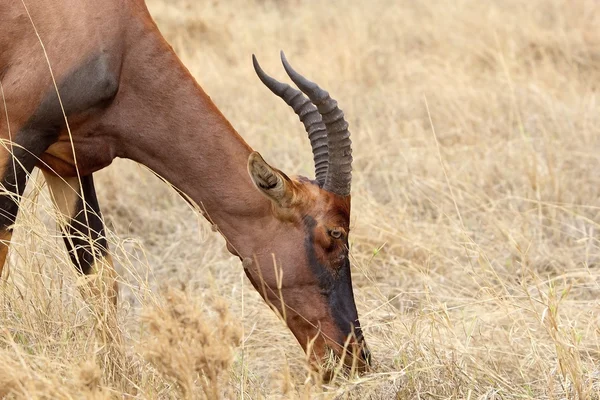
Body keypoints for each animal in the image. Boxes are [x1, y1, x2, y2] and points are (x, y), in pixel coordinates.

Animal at [0, 0, 370, 372]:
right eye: (334, 234)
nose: (356, 358)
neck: (117, 39)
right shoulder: (15, 138)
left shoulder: (69, 164)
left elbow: (99, 277)